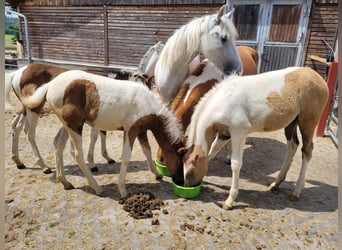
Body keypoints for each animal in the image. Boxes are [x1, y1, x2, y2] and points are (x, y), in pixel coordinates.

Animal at [21, 69, 184, 196]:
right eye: (180, 160)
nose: (180, 181)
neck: (146, 102)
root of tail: (50, 85)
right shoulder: (130, 129)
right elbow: (126, 157)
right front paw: (122, 190)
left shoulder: (141, 130)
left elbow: (147, 151)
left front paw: (157, 174)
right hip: (74, 126)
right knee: (77, 154)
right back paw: (97, 188)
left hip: (67, 124)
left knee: (58, 144)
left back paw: (65, 182)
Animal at [182, 66, 328, 209]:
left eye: (190, 173)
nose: (187, 187)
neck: (223, 100)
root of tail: (319, 78)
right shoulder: (225, 133)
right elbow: (211, 154)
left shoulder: (239, 132)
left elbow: (235, 164)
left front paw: (229, 200)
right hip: (291, 122)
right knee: (292, 146)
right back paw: (276, 184)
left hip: (307, 122)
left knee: (307, 151)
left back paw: (296, 191)